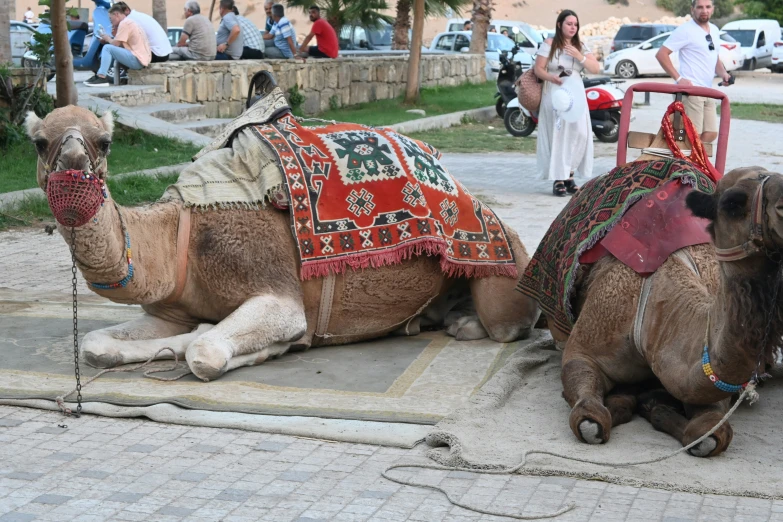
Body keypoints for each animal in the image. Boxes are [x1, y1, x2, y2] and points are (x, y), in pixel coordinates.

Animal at [23, 106, 540, 382]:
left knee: (509, 325)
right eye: (40, 141)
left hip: (504, 268)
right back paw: (435, 319)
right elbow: (94, 344)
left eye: (105, 141)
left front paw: (273, 346)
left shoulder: (274, 286)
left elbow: (206, 351)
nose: (73, 159)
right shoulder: (171, 309)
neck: (177, 241)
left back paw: (466, 323)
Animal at [544, 126, 783, 456]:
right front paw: (627, 404)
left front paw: (657, 407)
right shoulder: (584, 348)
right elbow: (589, 420)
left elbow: (708, 434)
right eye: (733, 203)